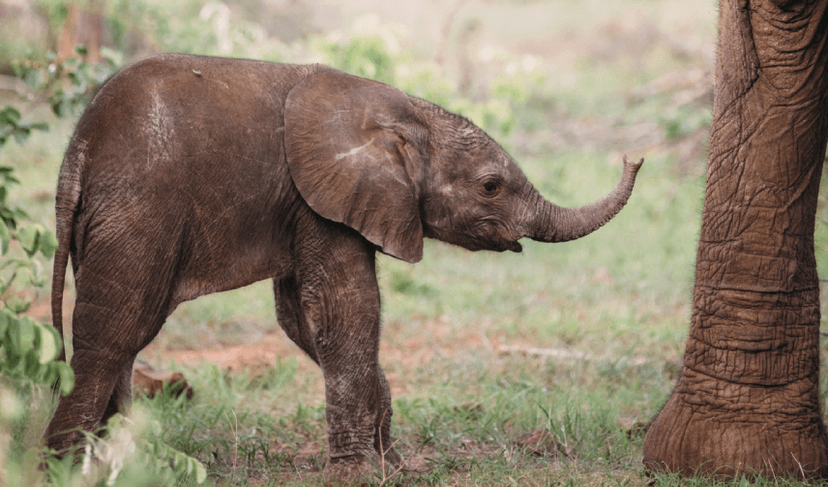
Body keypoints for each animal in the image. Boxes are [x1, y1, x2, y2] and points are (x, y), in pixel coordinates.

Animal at [44, 53, 643, 480]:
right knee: (114, 333)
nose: (634, 156)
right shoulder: (323, 197)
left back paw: (116, 461)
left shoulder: (309, 203)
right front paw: (359, 474)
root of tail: (79, 150)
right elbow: (345, 310)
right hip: (140, 211)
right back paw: (63, 467)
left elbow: (301, 318)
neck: (405, 111)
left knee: (127, 335)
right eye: (491, 186)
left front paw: (391, 467)